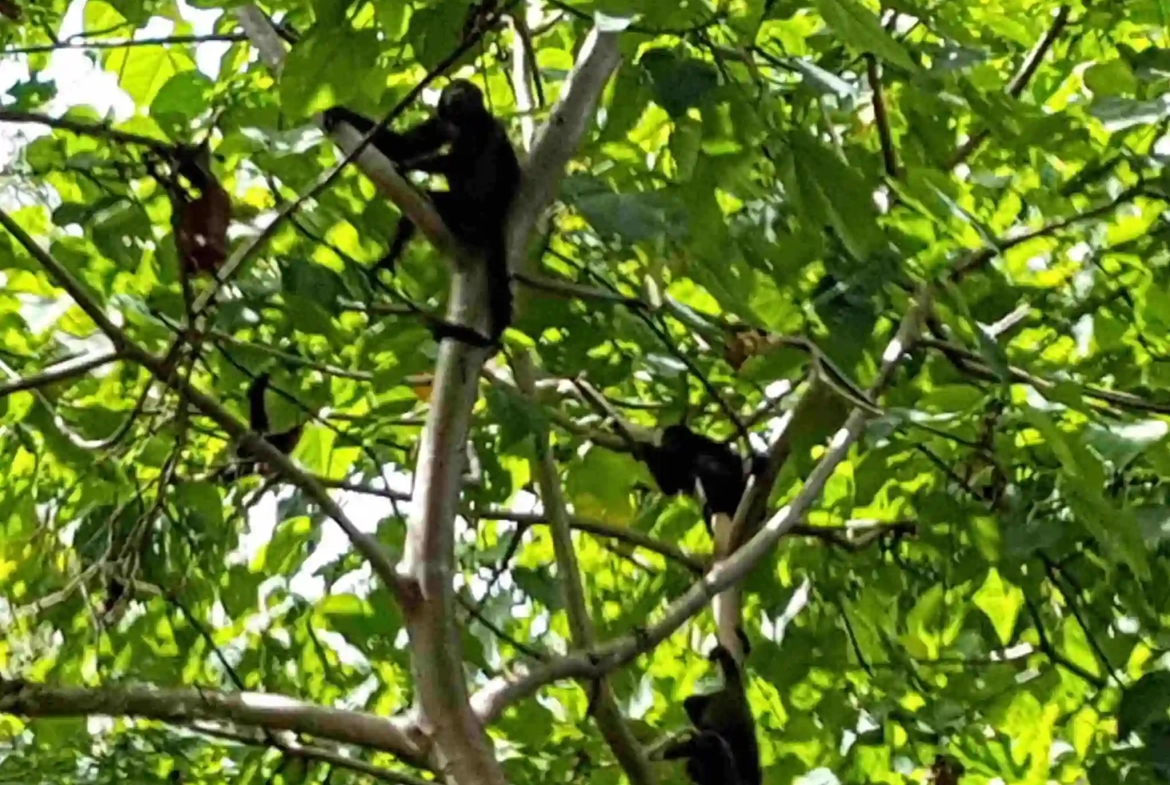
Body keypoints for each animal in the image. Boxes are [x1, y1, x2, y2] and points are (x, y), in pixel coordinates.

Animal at [322, 79, 520, 348]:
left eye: (466, 89)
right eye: (453, 89)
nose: (457, 93)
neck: (460, 123)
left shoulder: (479, 127)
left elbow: (459, 159)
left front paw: (410, 165)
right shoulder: (440, 123)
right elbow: (404, 145)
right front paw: (340, 112)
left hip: (470, 208)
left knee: (436, 192)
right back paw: (391, 257)